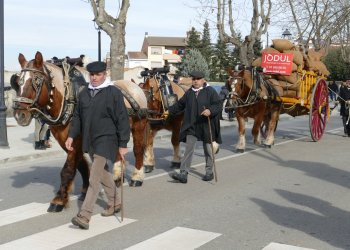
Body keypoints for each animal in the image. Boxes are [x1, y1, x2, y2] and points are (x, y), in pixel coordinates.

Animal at [11, 51, 148, 212]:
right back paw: (116, 176)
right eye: (18, 82)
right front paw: (84, 190)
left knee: (138, 150)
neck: (69, 97)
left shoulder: (76, 139)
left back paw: (137, 177)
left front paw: (59, 199)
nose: (19, 115)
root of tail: (135, 86)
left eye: (36, 80)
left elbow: (68, 169)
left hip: (139, 125)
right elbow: (81, 164)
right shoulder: (66, 141)